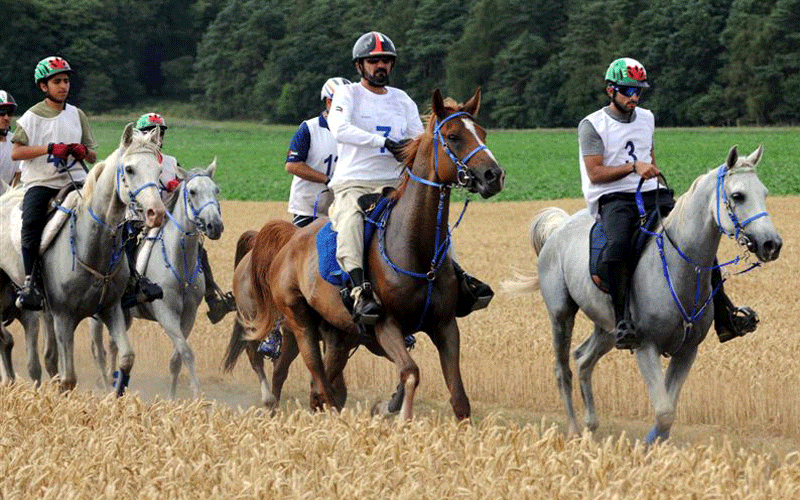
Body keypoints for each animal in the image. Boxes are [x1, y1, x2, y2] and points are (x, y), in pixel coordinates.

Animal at [0, 123, 166, 392]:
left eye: (159, 169)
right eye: (130, 169)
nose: (156, 213)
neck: (92, 245)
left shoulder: (111, 309)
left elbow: (127, 358)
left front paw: (113, 397)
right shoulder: (64, 317)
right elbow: (69, 378)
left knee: (44, 358)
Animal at [88, 160, 222, 398]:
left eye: (216, 190)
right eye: (193, 192)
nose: (215, 226)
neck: (180, 263)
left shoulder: (188, 316)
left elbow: (176, 358)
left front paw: (172, 398)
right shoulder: (166, 313)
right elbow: (187, 352)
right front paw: (198, 395)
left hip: (124, 314)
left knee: (113, 345)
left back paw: (115, 380)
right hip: (97, 315)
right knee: (98, 349)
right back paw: (104, 386)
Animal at [222, 89, 504, 418]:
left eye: (482, 133)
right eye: (453, 136)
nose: (493, 175)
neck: (417, 250)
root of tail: (290, 241)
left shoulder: (445, 325)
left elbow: (459, 397)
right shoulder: (386, 325)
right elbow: (410, 373)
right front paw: (401, 418)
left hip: (336, 334)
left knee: (313, 384)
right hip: (299, 324)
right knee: (310, 379)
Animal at [506, 146, 780, 446]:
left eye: (765, 193)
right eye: (738, 196)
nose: (772, 244)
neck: (678, 266)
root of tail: (559, 228)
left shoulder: (687, 351)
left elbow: (669, 411)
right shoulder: (646, 347)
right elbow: (663, 413)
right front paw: (645, 447)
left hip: (607, 329)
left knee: (583, 360)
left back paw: (591, 425)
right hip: (561, 316)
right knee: (562, 369)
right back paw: (575, 431)